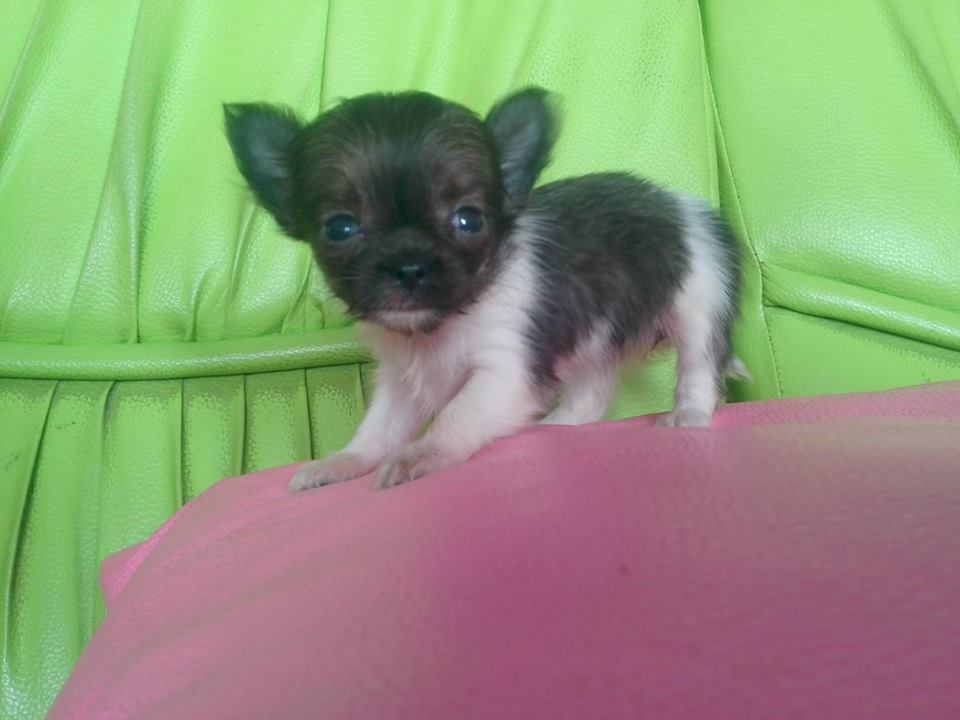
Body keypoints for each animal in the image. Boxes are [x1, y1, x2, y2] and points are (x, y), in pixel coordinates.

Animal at [224, 87, 743, 491]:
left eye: (469, 220)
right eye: (340, 229)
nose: (408, 267)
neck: (437, 330)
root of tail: (681, 205)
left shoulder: (504, 371)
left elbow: (457, 414)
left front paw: (423, 454)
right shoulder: (399, 381)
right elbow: (377, 430)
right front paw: (341, 462)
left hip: (699, 308)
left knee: (699, 370)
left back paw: (688, 415)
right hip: (591, 340)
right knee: (591, 393)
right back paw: (560, 424)